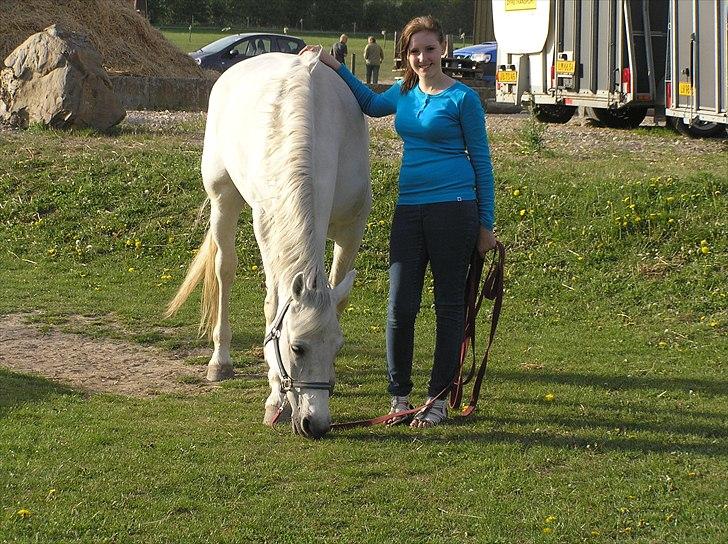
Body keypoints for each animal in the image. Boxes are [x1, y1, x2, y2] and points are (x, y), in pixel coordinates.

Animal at [166, 52, 370, 438]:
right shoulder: (268, 229)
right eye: (297, 348)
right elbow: (273, 304)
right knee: (224, 270)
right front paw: (275, 396)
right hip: (223, 199)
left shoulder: (352, 229)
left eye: (337, 346)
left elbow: (339, 300)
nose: (315, 424)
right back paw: (220, 360)